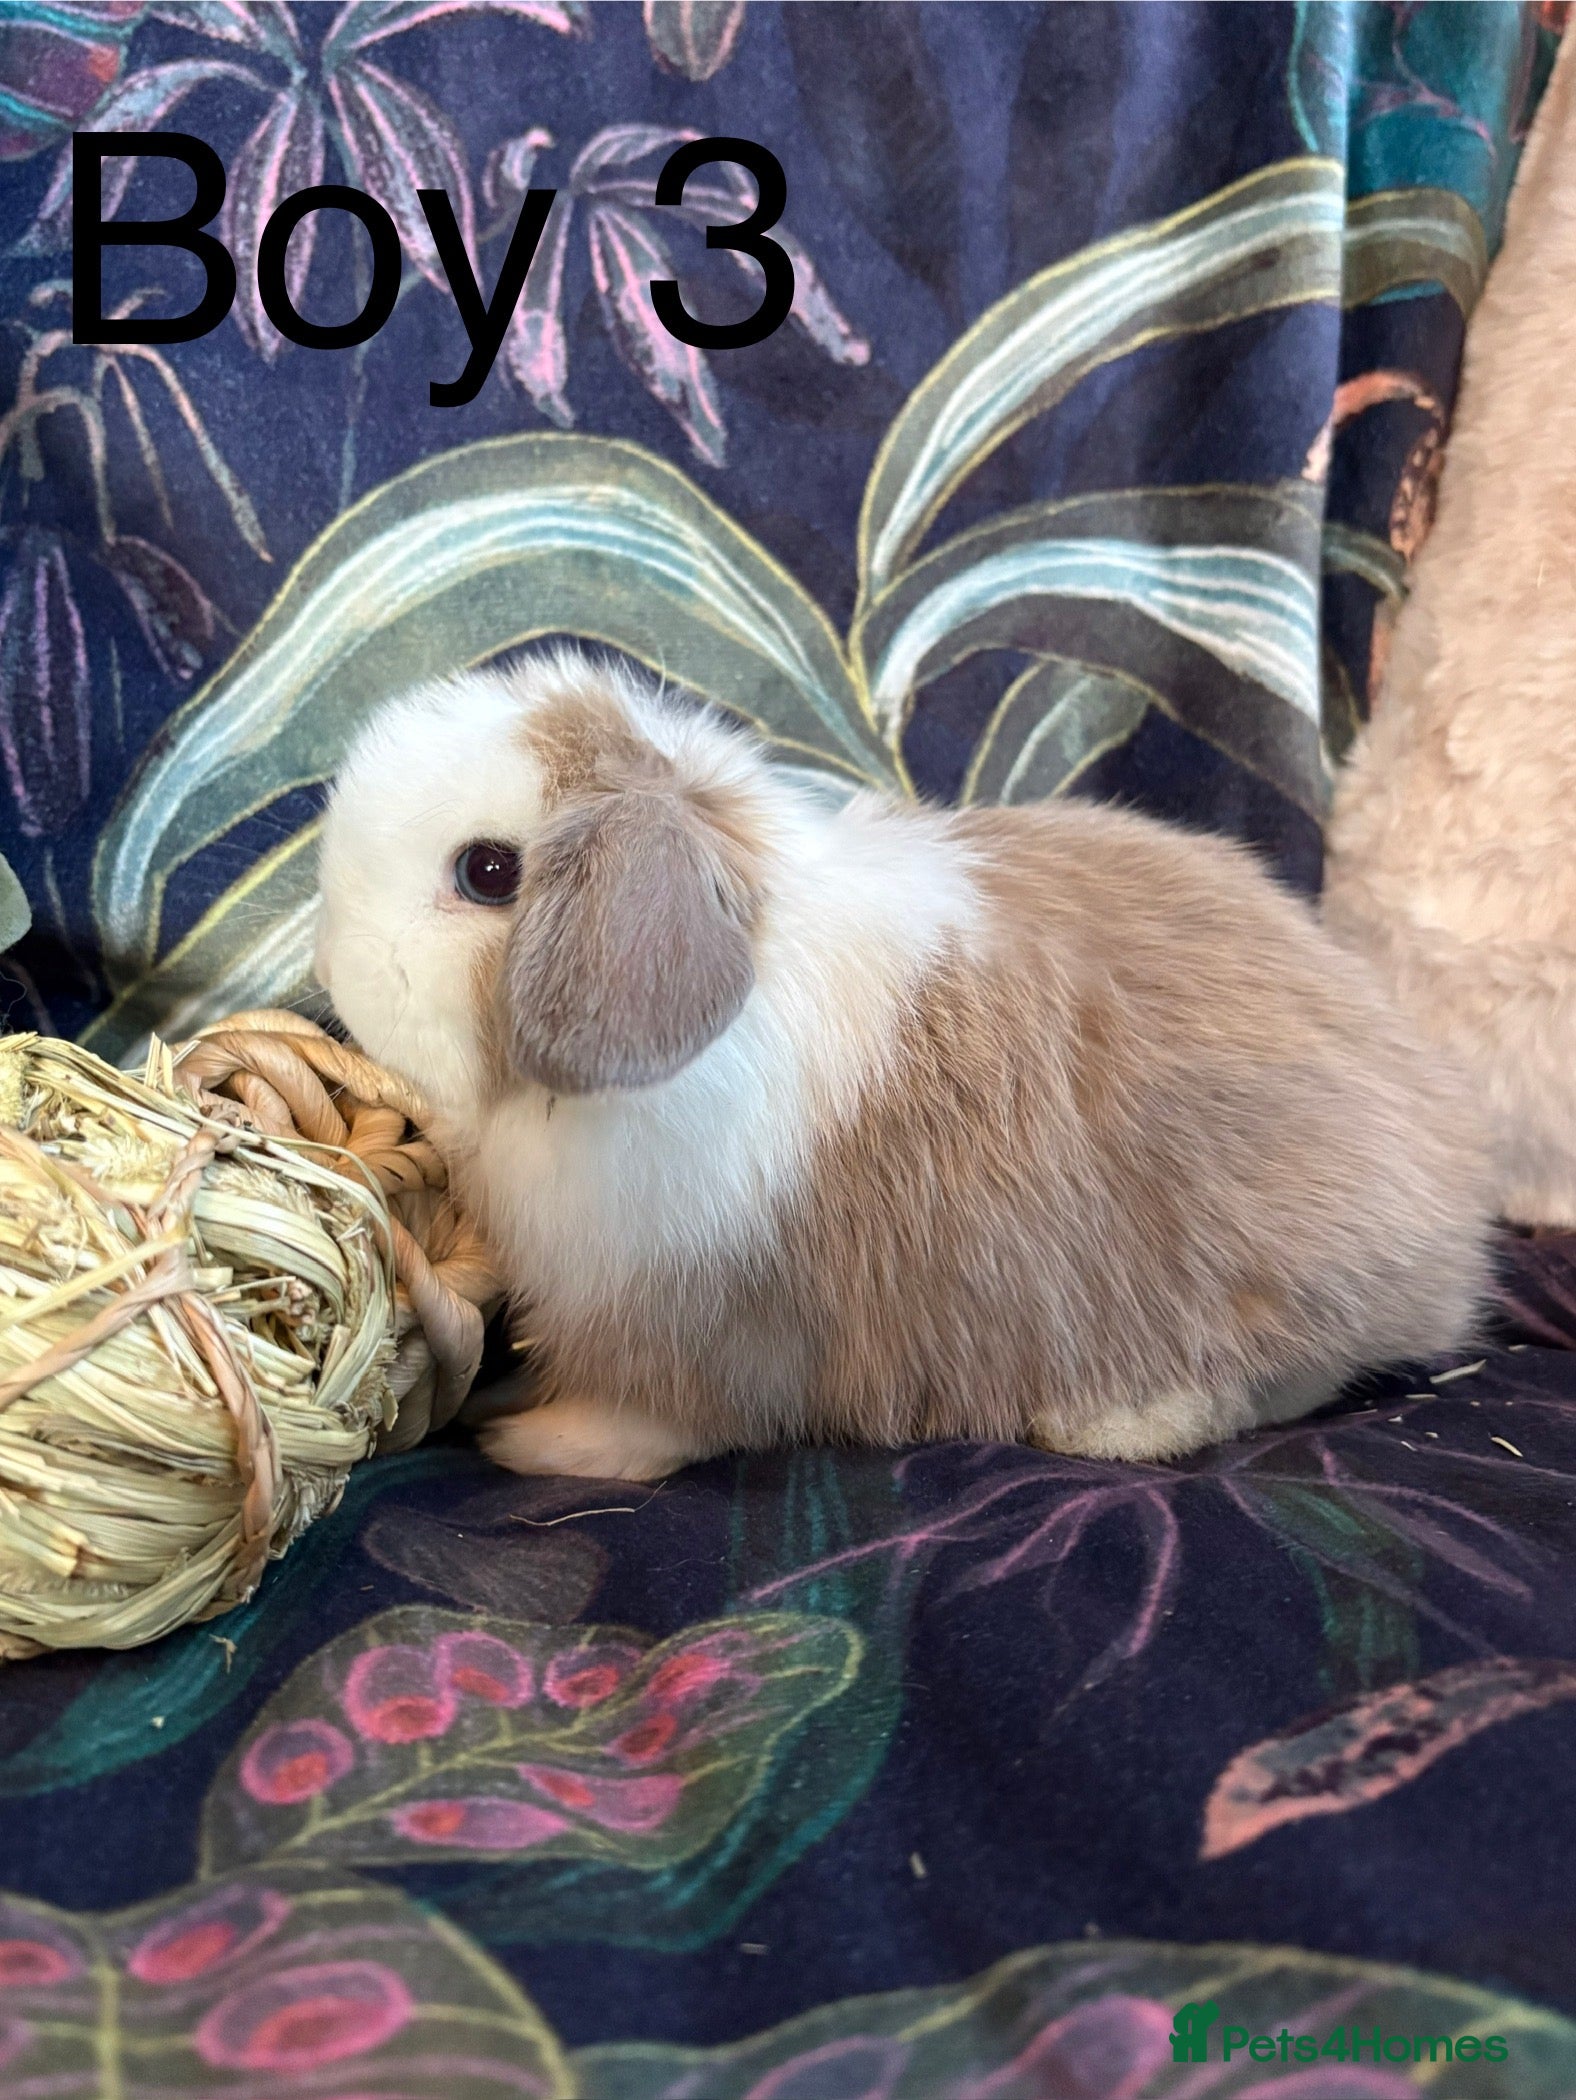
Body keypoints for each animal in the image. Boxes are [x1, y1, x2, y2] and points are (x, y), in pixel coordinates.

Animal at [315, 647, 1494, 1482]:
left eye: (488, 872)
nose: (329, 960)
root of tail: (1453, 1221)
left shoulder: (694, 1319)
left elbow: (653, 1419)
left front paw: (537, 1446)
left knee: (1284, 1378)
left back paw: (1111, 1423)